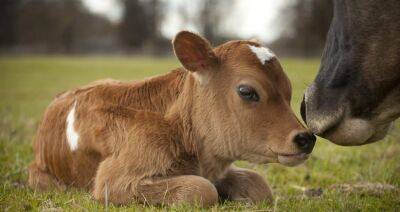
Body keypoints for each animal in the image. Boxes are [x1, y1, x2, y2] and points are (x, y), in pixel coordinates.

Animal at [28, 31, 316, 207]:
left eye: (289, 91)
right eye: (247, 91)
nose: (306, 138)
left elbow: (259, 185)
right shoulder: (113, 180)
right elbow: (201, 190)